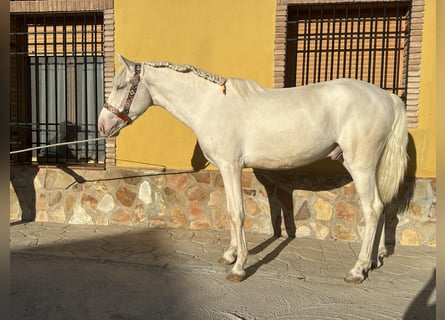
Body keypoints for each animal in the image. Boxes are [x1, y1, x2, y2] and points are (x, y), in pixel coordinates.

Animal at [99, 54, 408, 282]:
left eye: (120, 86)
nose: (103, 125)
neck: (210, 106)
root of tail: (388, 97)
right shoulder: (228, 170)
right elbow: (231, 211)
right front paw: (230, 255)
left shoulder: (231, 166)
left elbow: (238, 214)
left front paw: (238, 267)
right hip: (373, 166)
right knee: (383, 206)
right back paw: (374, 261)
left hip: (360, 164)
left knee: (372, 209)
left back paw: (357, 270)